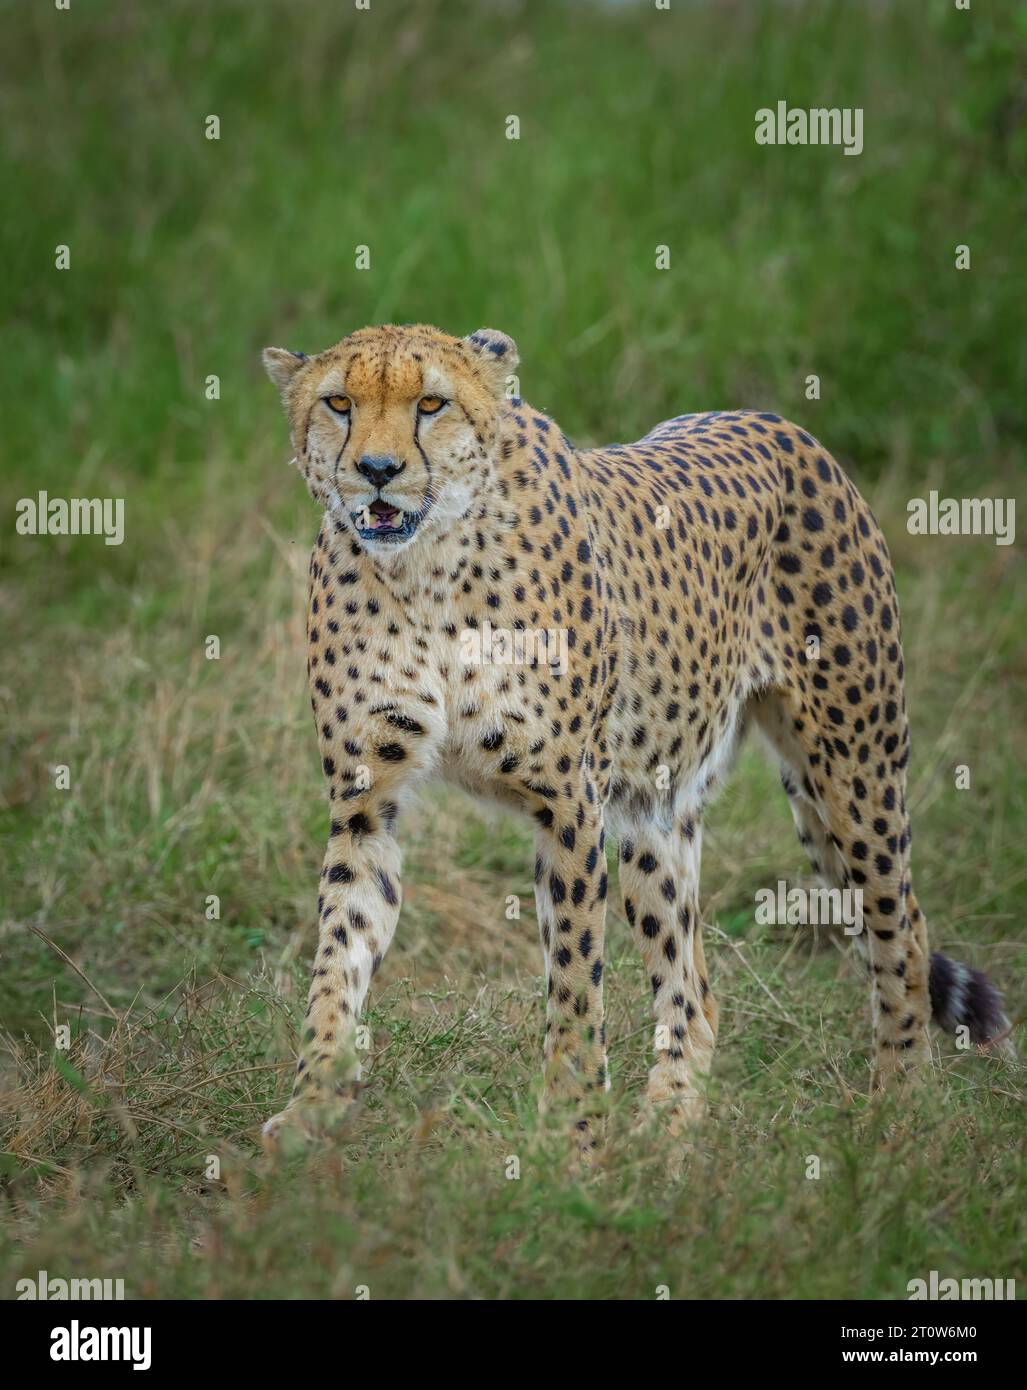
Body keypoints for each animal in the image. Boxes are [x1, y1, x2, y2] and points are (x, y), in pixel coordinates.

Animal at [258, 322, 1011, 1139]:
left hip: (851, 776)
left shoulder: (567, 802)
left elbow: (573, 977)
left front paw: (572, 1129)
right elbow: (339, 954)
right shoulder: (368, 801)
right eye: (338, 403)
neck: (425, 570)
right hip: (660, 817)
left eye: (432, 403)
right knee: (697, 990)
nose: (376, 471)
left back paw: (899, 1103)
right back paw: (667, 1126)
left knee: (901, 928)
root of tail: (777, 423)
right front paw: (310, 1105)